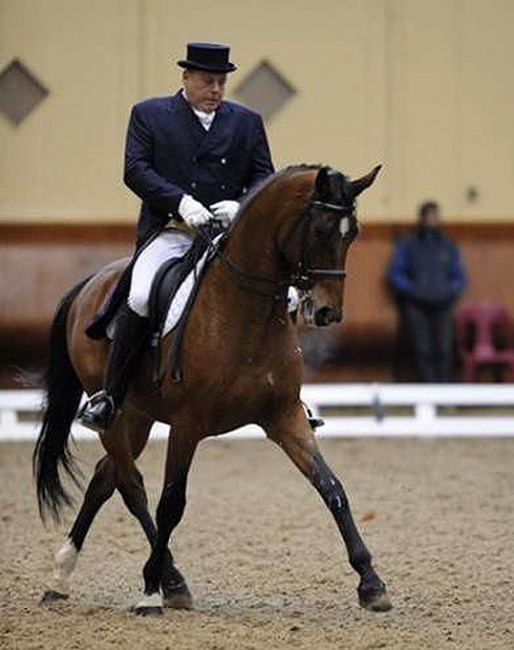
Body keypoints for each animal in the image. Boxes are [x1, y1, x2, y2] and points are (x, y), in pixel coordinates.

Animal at [34, 162, 390, 612]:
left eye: (353, 232)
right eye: (323, 229)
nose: (326, 312)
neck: (246, 313)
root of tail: (91, 283)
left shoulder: (284, 416)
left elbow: (332, 488)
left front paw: (371, 583)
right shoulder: (188, 425)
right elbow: (171, 503)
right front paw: (149, 590)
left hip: (138, 415)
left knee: (105, 479)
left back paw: (65, 576)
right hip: (114, 415)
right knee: (132, 487)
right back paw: (163, 581)